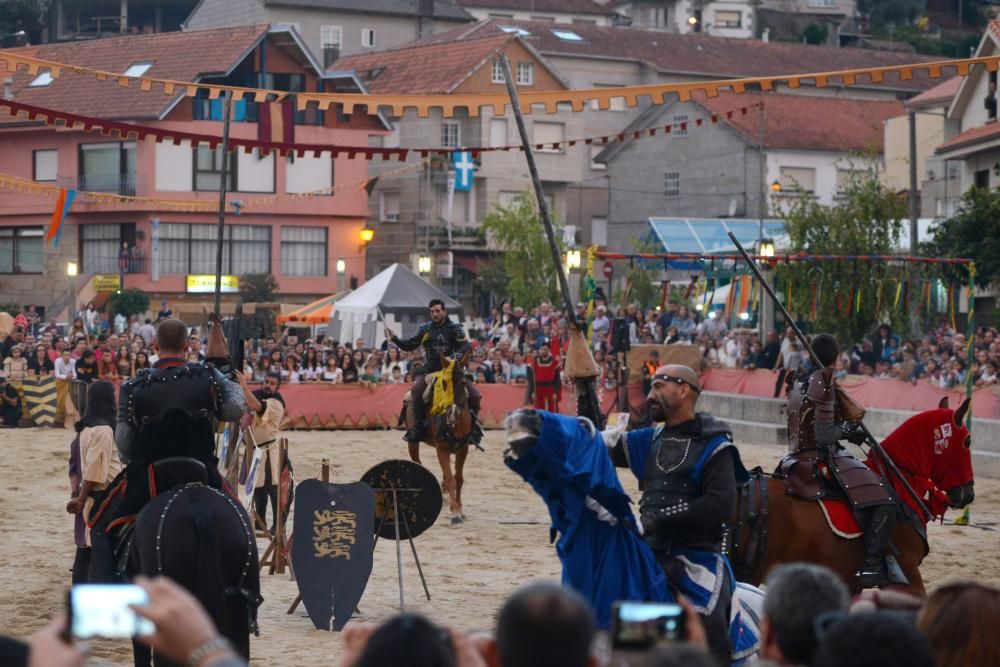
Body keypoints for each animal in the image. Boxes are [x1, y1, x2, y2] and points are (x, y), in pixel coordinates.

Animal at [406, 350, 472, 528]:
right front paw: (455, 513)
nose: (452, 414)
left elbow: (459, 479)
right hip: (413, 443)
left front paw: (459, 508)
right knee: (418, 462)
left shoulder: (463, 449)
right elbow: (451, 479)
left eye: (463, 382)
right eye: (444, 383)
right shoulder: (441, 449)